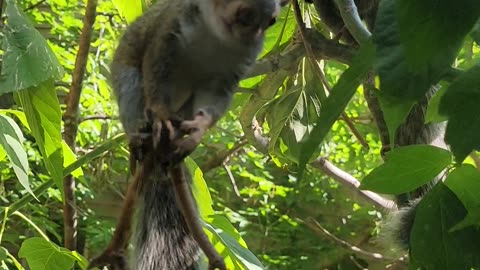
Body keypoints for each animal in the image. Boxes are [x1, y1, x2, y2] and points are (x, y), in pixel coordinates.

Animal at [88, 0, 290, 268]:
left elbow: (216, 99)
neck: (217, 37)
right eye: (244, 14)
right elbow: (155, 65)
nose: (252, 37)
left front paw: (199, 129)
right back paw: (139, 140)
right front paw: (161, 113)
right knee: (134, 98)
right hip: (130, 85)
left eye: (272, 22)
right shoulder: (169, 31)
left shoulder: (230, 73)